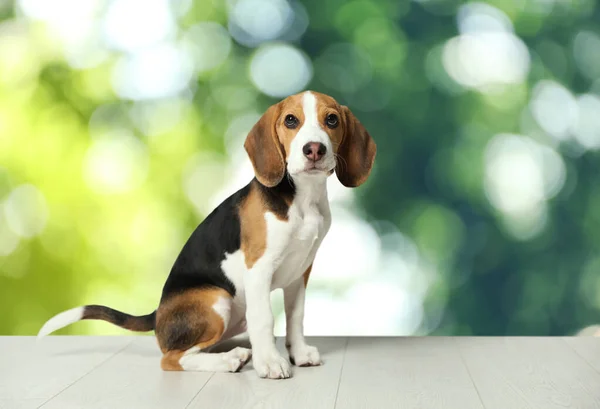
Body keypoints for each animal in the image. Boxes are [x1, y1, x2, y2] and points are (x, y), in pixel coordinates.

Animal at [38, 91, 376, 378]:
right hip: (217, 300)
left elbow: (296, 316)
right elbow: (266, 318)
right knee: (173, 358)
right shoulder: (259, 268)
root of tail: (157, 314)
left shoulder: (300, 271)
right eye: (291, 120)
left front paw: (300, 354)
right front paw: (270, 362)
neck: (303, 199)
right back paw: (229, 360)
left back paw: (234, 354)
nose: (314, 149)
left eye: (331, 120)